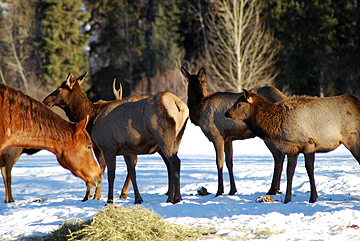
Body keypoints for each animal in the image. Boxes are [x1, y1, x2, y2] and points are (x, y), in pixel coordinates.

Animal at [43, 73, 188, 203]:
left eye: (58, 90)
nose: (45, 100)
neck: (91, 119)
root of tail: (179, 105)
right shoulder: (128, 150)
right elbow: (132, 173)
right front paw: (137, 199)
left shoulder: (106, 146)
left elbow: (109, 174)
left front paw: (106, 199)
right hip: (176, 139)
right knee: (171, 164)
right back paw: (171, 197)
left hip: (164, 137)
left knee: (175, 162)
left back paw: (176, 198)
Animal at [181, 67, 288, 197]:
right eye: (189, 84)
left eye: (205, 84)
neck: (199, 111)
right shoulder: (228, 139)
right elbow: (229, 163)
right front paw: (232, 190)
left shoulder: (216, 137)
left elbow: (219, 162)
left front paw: (219, 191)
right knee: (280, 155)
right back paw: (276, 189)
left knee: (278, 156)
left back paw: (272, 189)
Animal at [225, 89, 360, 202]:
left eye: (239, 104)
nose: (226, 113)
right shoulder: (292, 149)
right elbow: (289, 171)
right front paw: (287, 199)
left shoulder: (309, 143)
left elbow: (309, 169)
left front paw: (313, 197)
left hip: (353, 139)